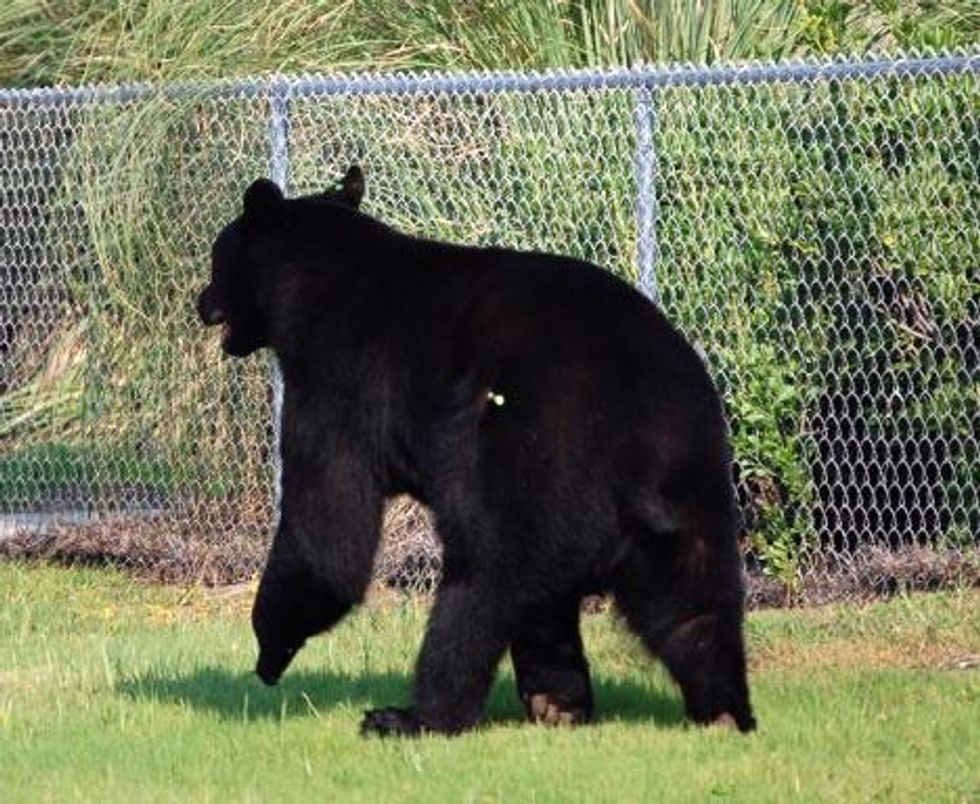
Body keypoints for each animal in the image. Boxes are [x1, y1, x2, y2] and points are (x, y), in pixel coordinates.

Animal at [196, 166, 756, 736]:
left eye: (218, 257)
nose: (201, 301)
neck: (311, 286)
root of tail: (639, 414)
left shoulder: (337, 384)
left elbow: (328, 532)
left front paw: (269, 648)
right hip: (693, 481)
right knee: (690, 602)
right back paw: (695, 708)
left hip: (528, 455)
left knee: (480, 584)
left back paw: (414, 714)